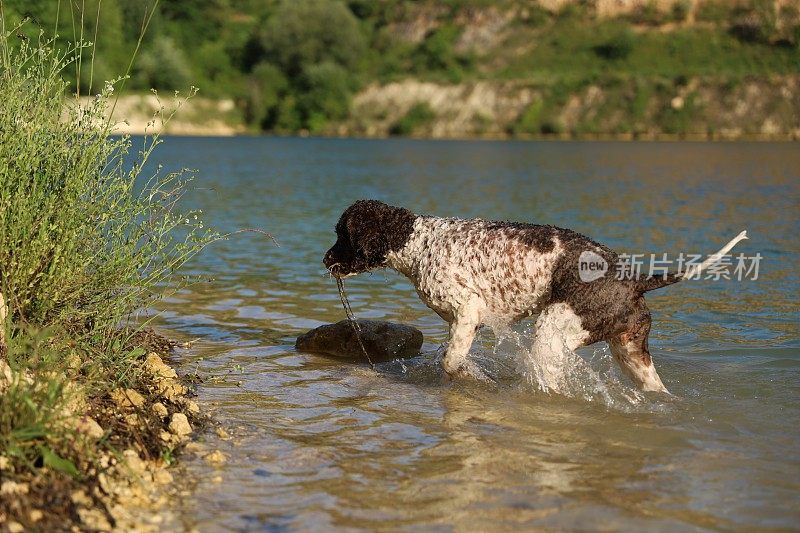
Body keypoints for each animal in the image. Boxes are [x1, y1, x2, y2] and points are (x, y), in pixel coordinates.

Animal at [322, 200, 748, 390]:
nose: (324, 259)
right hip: (631, 353)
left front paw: (474, 377)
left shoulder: (467, 313)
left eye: (342, 234)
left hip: (552, 336)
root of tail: (634, 279)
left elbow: (451, 361)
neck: (419, 242)